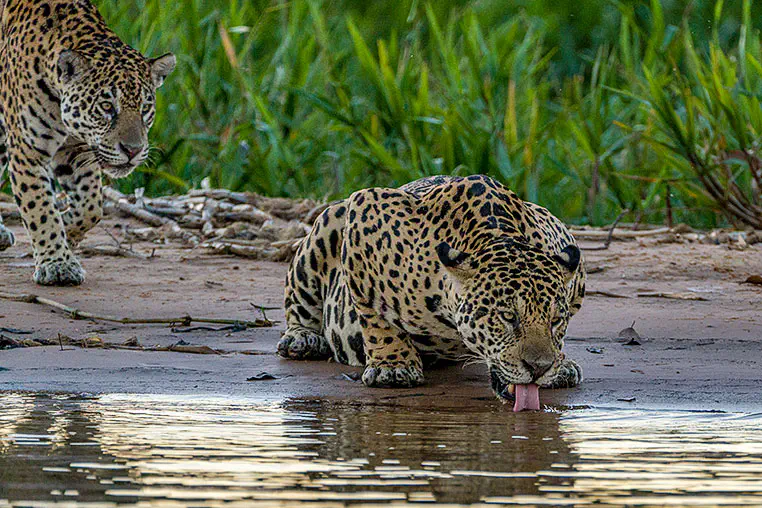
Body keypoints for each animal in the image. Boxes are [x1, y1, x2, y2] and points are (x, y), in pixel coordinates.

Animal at [0, 0, 175, 285]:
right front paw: (57, 264)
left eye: (145, 108)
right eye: (107, 107)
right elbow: (40, 208)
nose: (133, 150)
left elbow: (91, 207)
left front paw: (68, 233)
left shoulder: (77, 149)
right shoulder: (28, 150)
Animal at [279, 174, 586, 400]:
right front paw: (394, 366)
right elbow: (374, 311)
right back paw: (302, 339)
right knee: (298, 302)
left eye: (556, 321)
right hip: (326, 224)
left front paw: (560, 364)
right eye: (508, 317)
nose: (539, 368)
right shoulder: (365, 208)